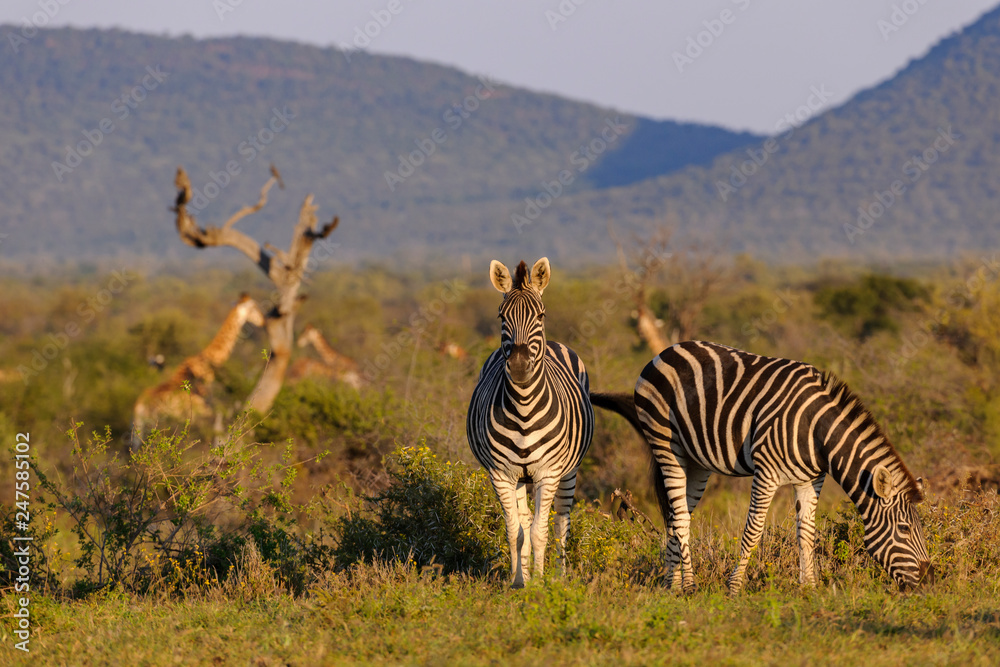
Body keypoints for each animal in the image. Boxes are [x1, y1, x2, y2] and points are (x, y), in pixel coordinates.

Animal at [467, 258, 595, 588]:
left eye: (541, 315)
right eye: (502, 316)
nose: (520, 366)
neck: (523, 407)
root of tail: (556, 344)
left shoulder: (547, 473)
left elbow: (539, 532)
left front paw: (539, 584)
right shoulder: (501, 474)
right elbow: (515, 531)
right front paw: (517, 582)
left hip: (568, 470)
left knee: (561, 522)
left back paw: (559, 576)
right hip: (520, 477)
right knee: (524, 521)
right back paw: (523, 574)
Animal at [591, 340, 933, 593]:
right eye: (905, 529)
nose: (929, 577)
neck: (817, 433)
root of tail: (666, 351)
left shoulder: (811, 479)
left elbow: (806, 532)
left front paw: (809, 587)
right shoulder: (766, 473)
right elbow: (753, 531)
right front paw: (734, 588)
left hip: (696, 462)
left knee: (677, 516)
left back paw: (671, 585)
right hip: (666, 445)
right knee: (681, 518)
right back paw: (689, 585)